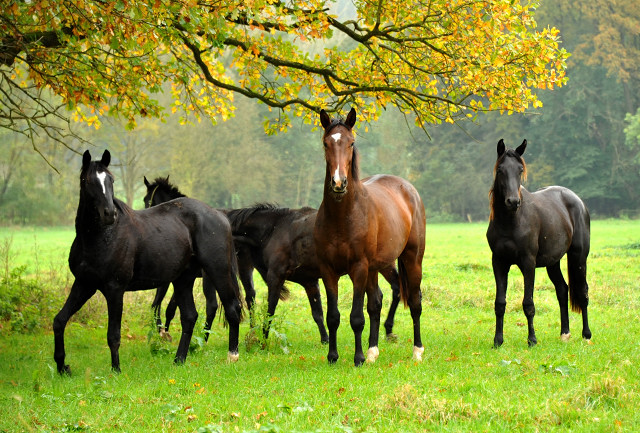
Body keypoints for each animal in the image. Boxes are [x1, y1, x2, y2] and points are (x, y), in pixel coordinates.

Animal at [52, 150, 242, 372]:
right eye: (87, 180)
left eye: (111, 179)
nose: (109, 214)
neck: (101, 237)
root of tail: (219, 216)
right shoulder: (84, 284)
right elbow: (59, 320)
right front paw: (62, 366)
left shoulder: (114, 289)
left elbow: (113, 335)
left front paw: (116, 370)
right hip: (183, 279)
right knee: (189, 316)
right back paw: (179, 359)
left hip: (217, 271)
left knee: (231, 308)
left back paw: (232, 356)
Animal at [314, 108, 428, 364]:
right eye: (326, 143)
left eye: (351, 142)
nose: (338, 183)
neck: (343, 217)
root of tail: (409, 189)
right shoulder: (328, 271)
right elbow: (333, 316)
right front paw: (333, 356)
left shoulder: (358, 268)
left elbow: (356, 317)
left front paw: (357, 358)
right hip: (377, 267)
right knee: (376, 303)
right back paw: (373, 350)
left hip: (412, 259)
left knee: (415, 302)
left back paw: (417, 350)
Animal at [488, 139, 592, 348]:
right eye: (501, 169)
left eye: (520, 169)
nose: (513, 201)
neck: (511, 221)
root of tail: (578, 201)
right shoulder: (499, 263)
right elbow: (500, 303)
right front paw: (498, 341)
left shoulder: (528, 263)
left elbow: (528, 303)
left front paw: (532, 340)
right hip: (553, 262)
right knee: (562, 290)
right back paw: (565, 333)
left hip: (579, 258)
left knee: (583, 292)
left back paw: (586, 334)